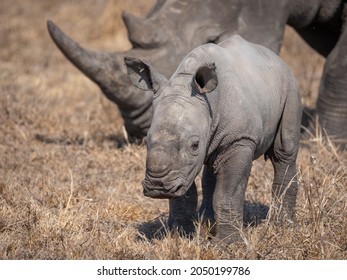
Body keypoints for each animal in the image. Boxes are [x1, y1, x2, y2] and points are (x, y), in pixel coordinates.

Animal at [124, 35, 302, 243]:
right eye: (146, 140)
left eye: (194, 145)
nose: (158, 187)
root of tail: (277, 58)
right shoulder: (182, 166)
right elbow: (185, 193)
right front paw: (180, 236)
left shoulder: (239, 140)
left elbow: (227, 193)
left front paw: (227, 244)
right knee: (212, 168)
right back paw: (208, 224)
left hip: (290, 84)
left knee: (284, 151)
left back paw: (284, 226)